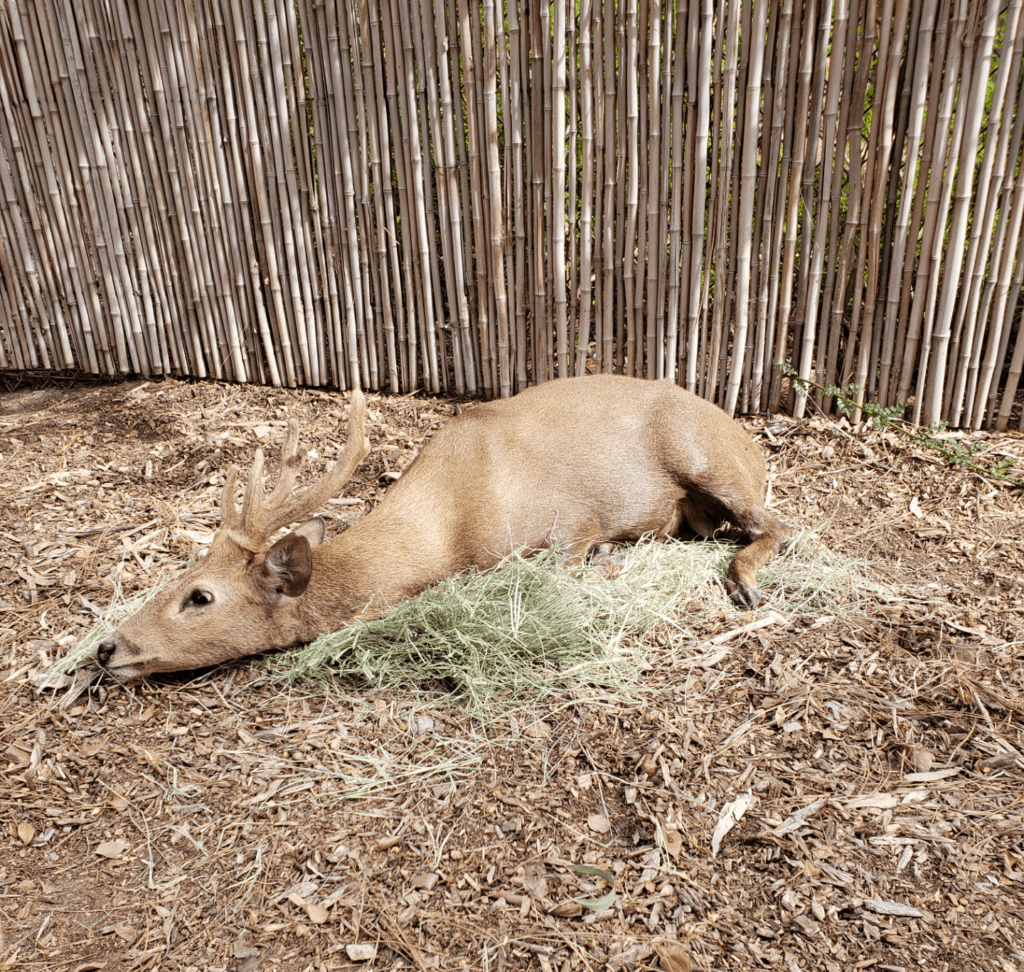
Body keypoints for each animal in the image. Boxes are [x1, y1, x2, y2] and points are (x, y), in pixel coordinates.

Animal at [95, 374, 791, 679]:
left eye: (199, 597)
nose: (107, 648)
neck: (449, 530)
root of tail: (750, 442)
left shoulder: (567, 526)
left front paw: (609, 562)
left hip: (706, 455)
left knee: (778, 524)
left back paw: (746, 585)